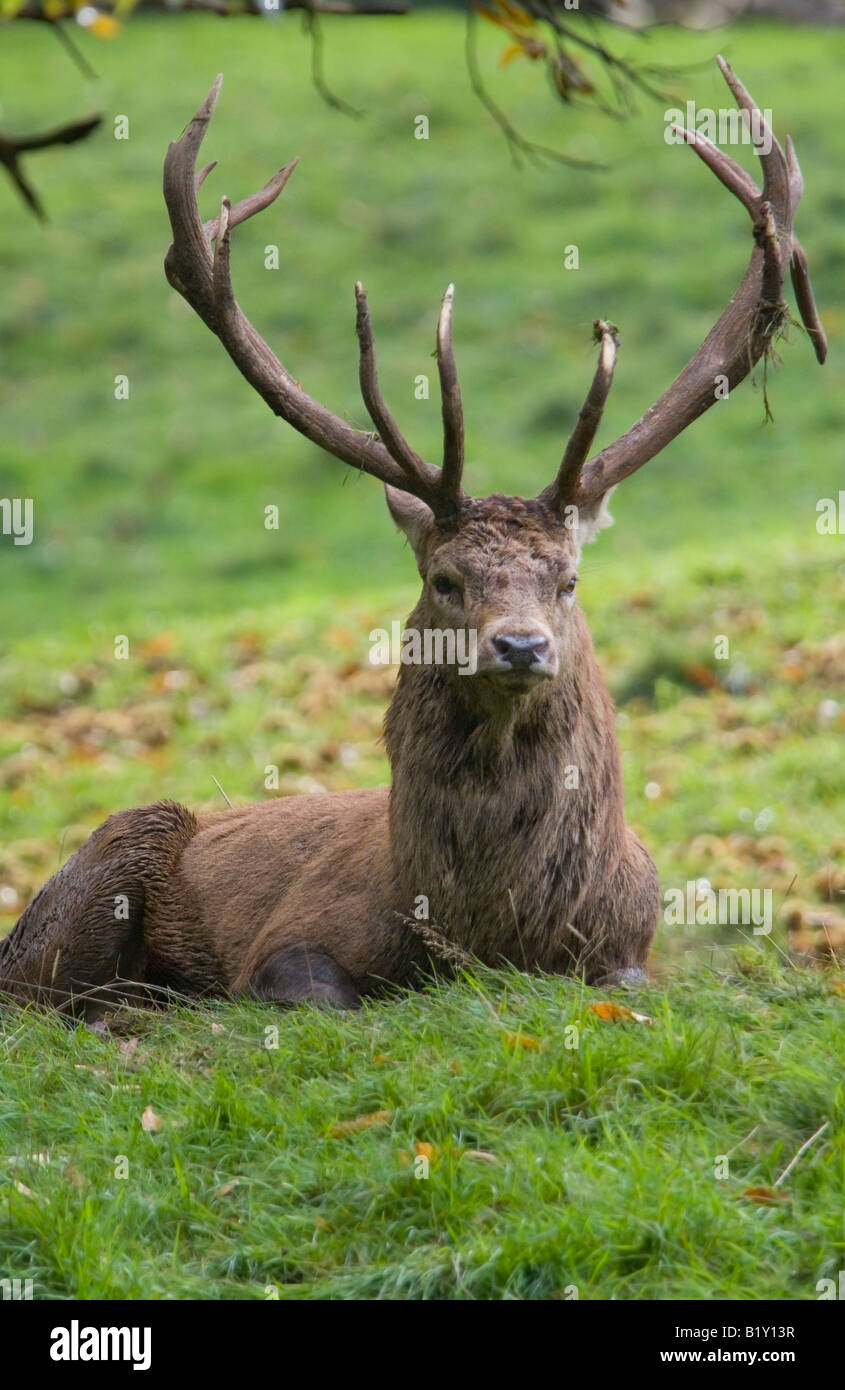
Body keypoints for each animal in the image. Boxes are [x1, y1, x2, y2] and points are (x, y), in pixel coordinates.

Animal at [0, 59, 826, 1019]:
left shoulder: (628, 946)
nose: (519, 646)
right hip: (109, 857)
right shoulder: (286, 942)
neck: (486, 934)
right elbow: (316, 991)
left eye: (568, 579)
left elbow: (622, 980)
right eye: (444, 578)